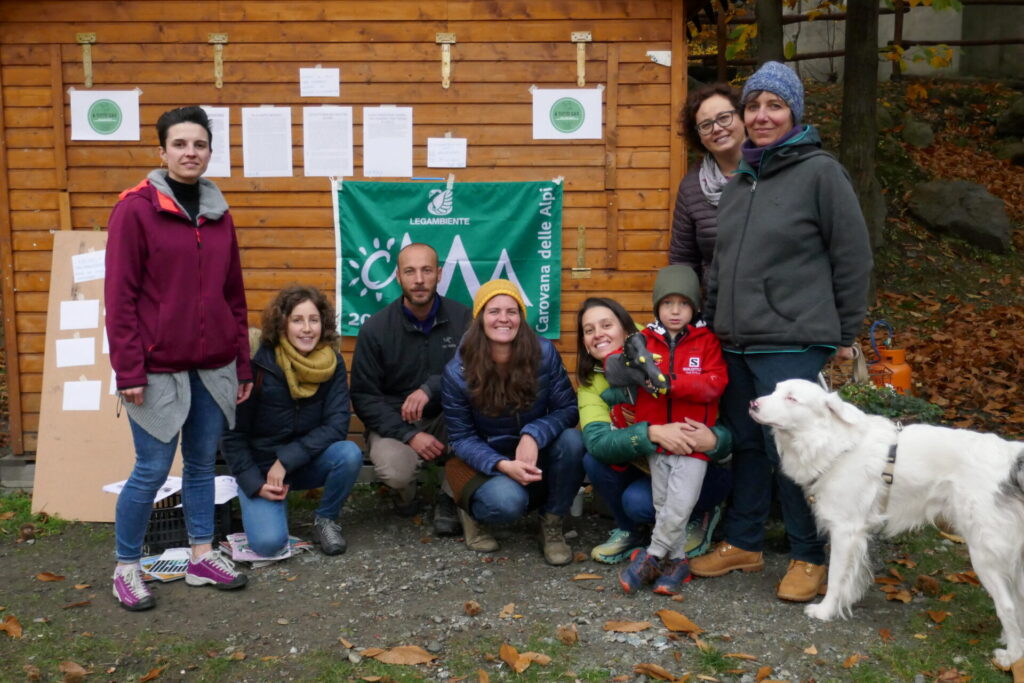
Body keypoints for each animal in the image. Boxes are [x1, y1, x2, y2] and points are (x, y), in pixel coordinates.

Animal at [749, 378, 1024, 667]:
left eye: (791, 398)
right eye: (775, 390)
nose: (752, 404)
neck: (831, 442)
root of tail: (1010, 458)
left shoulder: (845, 530)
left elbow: (835, 576)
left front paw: (826, 610)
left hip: (984, 554)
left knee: (1007, 605)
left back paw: (1012, 656)